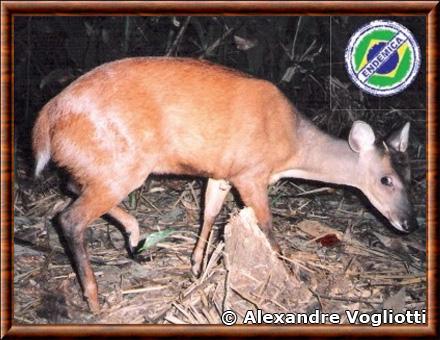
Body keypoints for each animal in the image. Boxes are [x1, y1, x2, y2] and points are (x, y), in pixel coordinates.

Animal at [32, 56, 418, 314]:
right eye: (385, 180)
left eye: (410, 178)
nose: (409, 223)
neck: (293, 146)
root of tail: (47, 119)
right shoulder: (250, 172)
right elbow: (266, 226)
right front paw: (292, 279)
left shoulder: (222, 172)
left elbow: (210, 214)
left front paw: (197, 267)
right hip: (124, 162)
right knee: (70, 218)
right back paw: (95, 299)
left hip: (101, 162)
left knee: (71, 186)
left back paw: (133, 234)